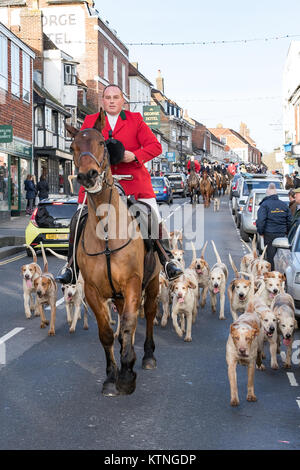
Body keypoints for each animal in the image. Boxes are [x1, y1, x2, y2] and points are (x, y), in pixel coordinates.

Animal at [64, 110, 161, 396]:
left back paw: (147, 355)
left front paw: (127, 373)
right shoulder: (93, 290)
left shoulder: (132, 283)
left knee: (148, 313)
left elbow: (129, 323)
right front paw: (111, 376)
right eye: (73, 147)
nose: (88, 175)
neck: (106, 228)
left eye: (101, 143)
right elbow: (107, 333)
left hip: (152, 283)